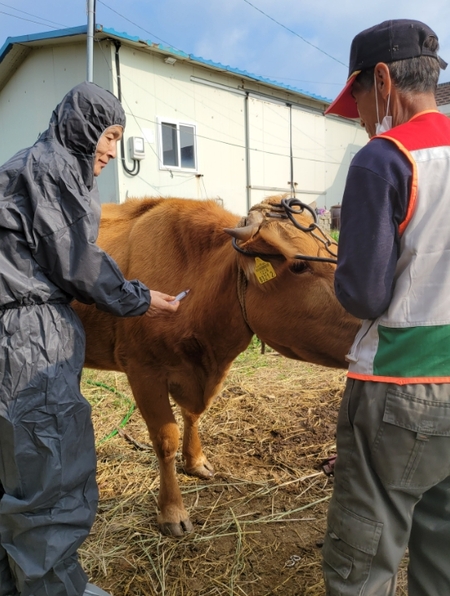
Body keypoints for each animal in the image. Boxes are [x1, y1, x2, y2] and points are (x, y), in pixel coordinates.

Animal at [75, 194, 360, 536]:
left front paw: (196, 461)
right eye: (299, 265)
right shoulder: (143, 371)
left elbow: (193, 415)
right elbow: (165, 440)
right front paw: (172, 511)